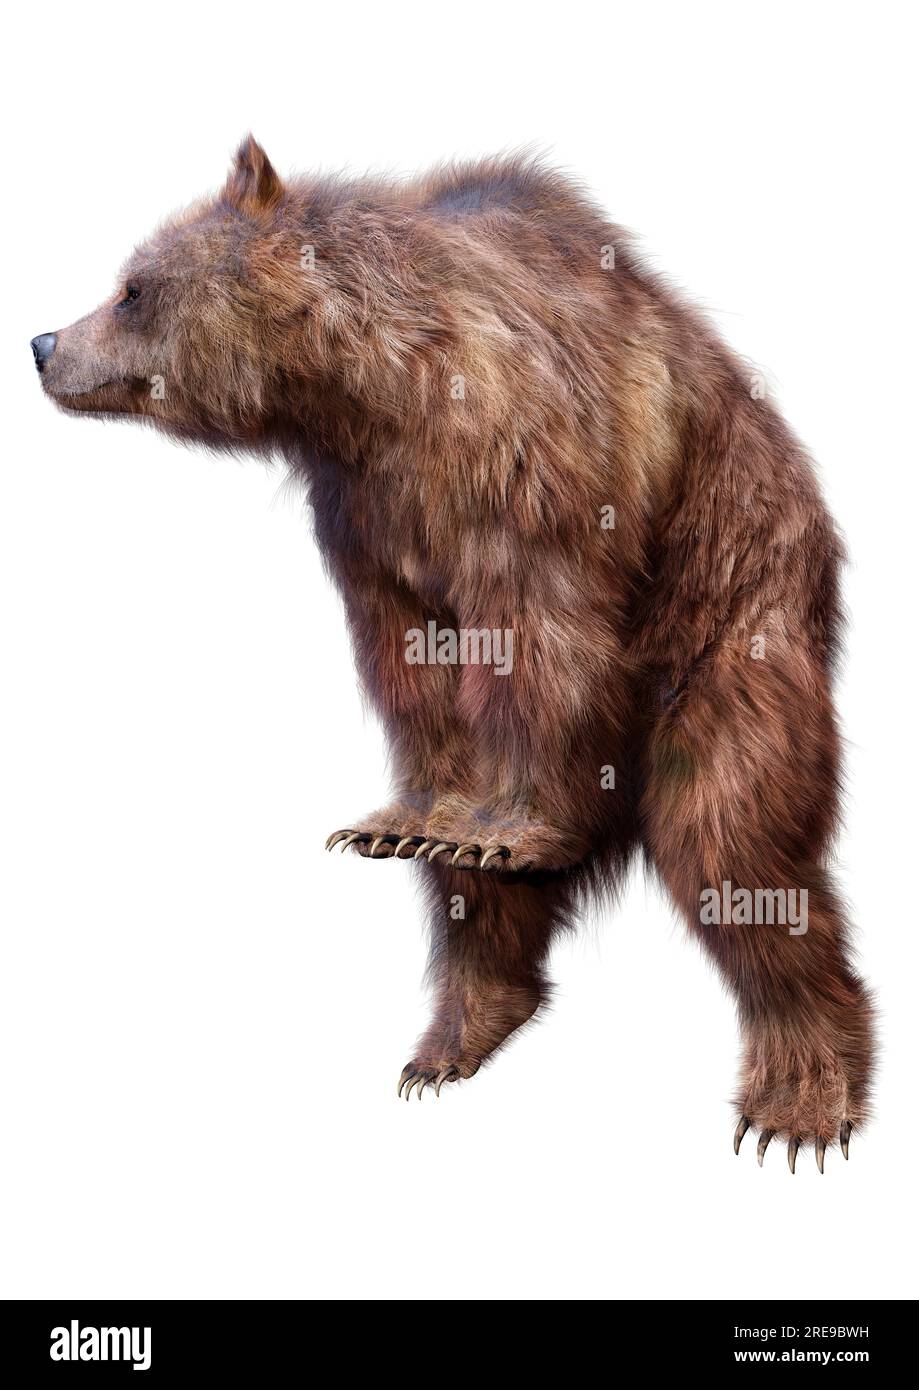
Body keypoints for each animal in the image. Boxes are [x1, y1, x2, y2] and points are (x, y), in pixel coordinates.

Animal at [33, 136, 874, 1170]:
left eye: (132, 289)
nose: (42, 344)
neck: (366, 394)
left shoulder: (523, 465)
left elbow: (538, 635)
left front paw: (511, 823)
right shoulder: (368, 511)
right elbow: (415, 669)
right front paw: (411, 821)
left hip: (733, 606)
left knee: (731, 834)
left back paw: (798, 1100)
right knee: (480, 901)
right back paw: (453, 1034)